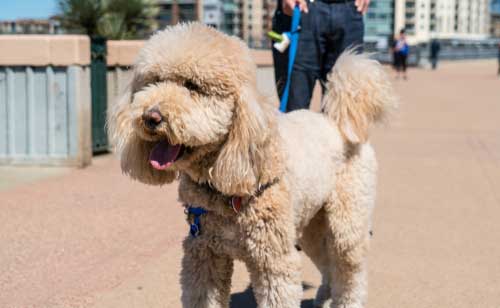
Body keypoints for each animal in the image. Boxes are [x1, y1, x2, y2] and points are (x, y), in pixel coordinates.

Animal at [108, 23, 394, 308]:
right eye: (153, 81)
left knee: (350, 270)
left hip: (347, 220)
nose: (150, 117)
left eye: (192, 86)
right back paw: (324, 296)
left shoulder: (273, 260)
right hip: (311, 224)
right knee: (327, 263)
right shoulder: (204, 253)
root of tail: (336, 122)